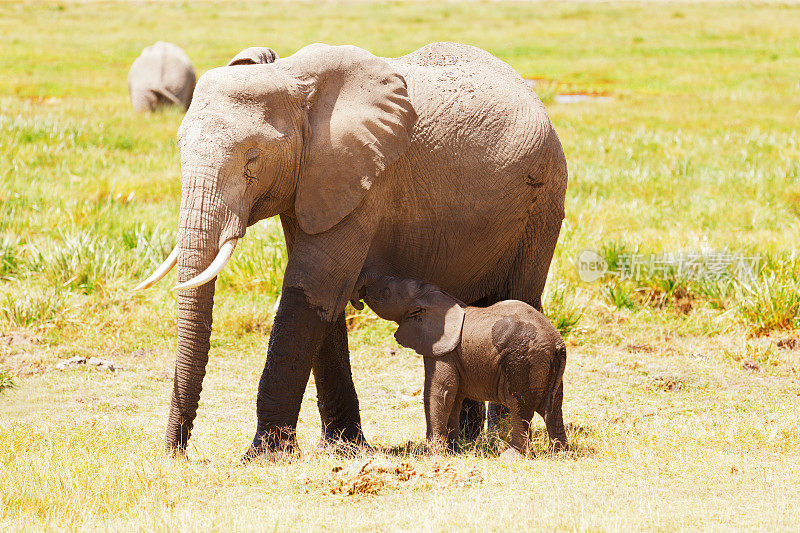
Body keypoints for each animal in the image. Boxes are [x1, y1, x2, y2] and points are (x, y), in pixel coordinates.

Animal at [352, 274, 568, 458]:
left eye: (386, 292)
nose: (358, 298)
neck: (435, 296)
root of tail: (558, 343)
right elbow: (454, 398)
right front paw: (453, 451)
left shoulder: (442, 351)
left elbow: (440, 392)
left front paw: (434, 454)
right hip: (547, 363)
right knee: (554, 408)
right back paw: (559, 454)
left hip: (524, 360)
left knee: (519, 406)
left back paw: (511, 457)